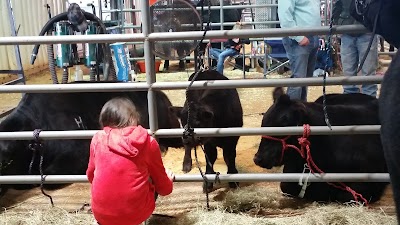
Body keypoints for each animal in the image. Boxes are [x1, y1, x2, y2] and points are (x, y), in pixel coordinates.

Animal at [253, 88, 388, 204]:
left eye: (283, 125)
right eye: (263, 122)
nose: (258, 158)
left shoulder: (370, 179)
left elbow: (347, 196)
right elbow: (286, 186)